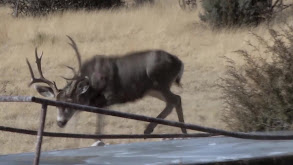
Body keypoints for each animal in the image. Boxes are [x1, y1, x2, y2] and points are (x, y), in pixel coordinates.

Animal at [27, 35, 187, 135]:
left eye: (70, 102)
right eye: (55, 103)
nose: (60, 122)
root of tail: (179, 62)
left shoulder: (108, 97)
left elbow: (99, 124)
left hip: (161, 82)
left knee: (174, 99)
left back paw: (151, 130)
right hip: (153, 89)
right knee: (176, 99)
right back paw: (180, 131)